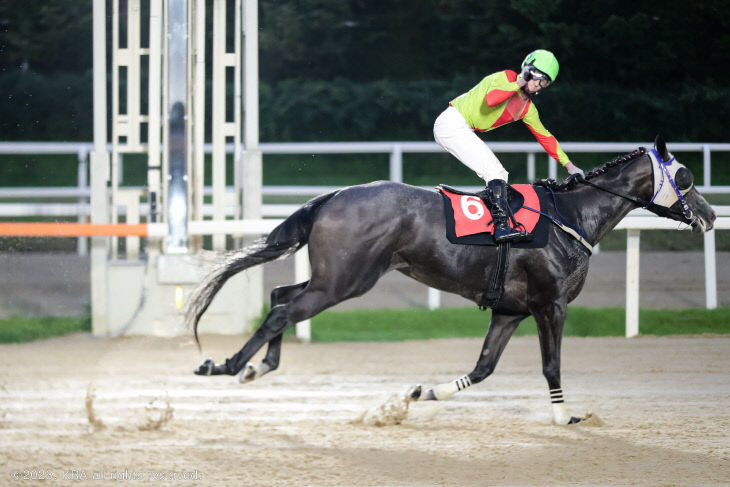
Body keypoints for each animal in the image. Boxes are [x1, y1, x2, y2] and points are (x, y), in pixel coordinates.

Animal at [185, 135, 712, 426]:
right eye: (686, 177)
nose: (708, 216)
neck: (570, 218)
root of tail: (331, 196)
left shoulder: (510, 310)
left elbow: (483, 368)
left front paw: (425, 393)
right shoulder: (551, 305)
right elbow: (552, 367)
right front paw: (565, 415)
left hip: (332, 278)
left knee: (279, 296)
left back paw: (257, 366)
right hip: (345, 281)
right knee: (282, 310)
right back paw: (228, 364)